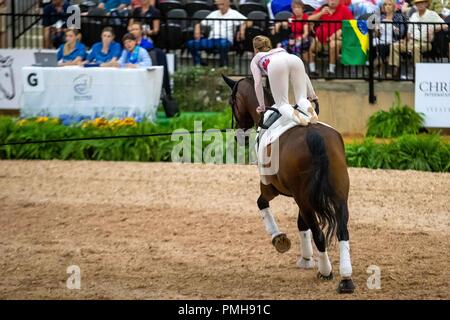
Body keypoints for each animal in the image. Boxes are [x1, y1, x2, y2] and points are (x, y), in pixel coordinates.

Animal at [222, 74, 356, 292]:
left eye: (231, 102)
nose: (239, 136)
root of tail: (314, 136)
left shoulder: (270, 187)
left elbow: (261, 203)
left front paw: (279, 238)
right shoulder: (302, 196)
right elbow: (301, 224)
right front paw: (306, 259)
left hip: (304, 197)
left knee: (319, 233)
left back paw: (326, 272)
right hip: (337, 195)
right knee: (342, 230)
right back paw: (345, 278)